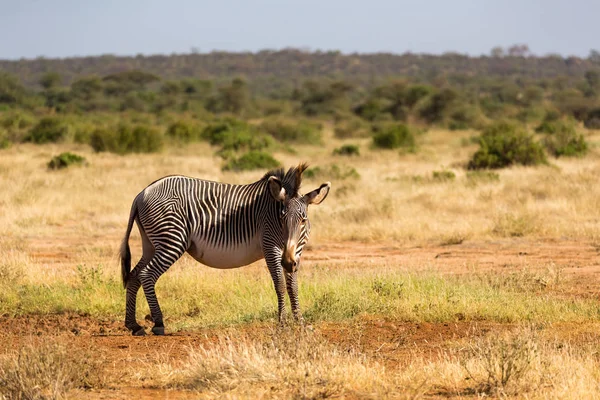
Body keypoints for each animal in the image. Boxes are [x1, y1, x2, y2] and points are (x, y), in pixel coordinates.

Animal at [119, 162, 330, 334]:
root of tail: (142, 193)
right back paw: (158, 324)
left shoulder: (296, 253)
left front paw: (300, 322)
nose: (286, 262)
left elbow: (293, 286)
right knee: (146, 274)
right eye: (281, 218)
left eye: (303, 220)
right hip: (171, 240)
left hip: (151, 244)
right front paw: (283, 324)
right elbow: (279, 285)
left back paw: (134, 325)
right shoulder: (270, 245)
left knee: (134, 275)